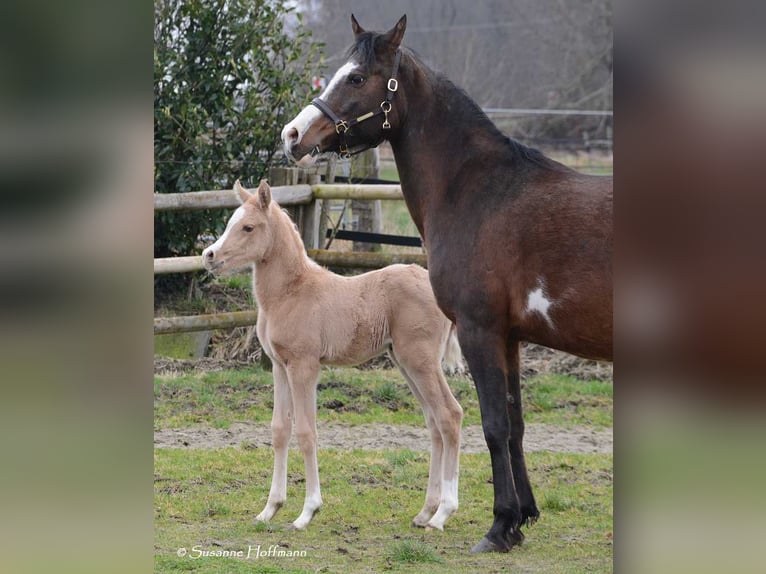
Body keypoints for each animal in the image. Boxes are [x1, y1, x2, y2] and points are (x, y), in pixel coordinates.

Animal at [201, 182, 464, 532]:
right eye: (231, 221)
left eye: (248, 227)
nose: (209, 256)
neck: (291, 292)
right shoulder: (279, 366)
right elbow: (280, 430)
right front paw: (270, 508)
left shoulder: (304, 367)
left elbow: (306, 432)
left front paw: (307, 512)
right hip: (405, 362)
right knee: (434, 422)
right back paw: (425, 512)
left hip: (421, 360)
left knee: (450, 415)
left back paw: (443, 513)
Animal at [280, 12, 616, 552]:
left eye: (357, 78)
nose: (292, 135)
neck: (479, 192)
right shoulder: (510, 337)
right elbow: (516, 423)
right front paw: (524, 517)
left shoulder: (480, 330)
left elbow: (493, 425)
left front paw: (499, 526)